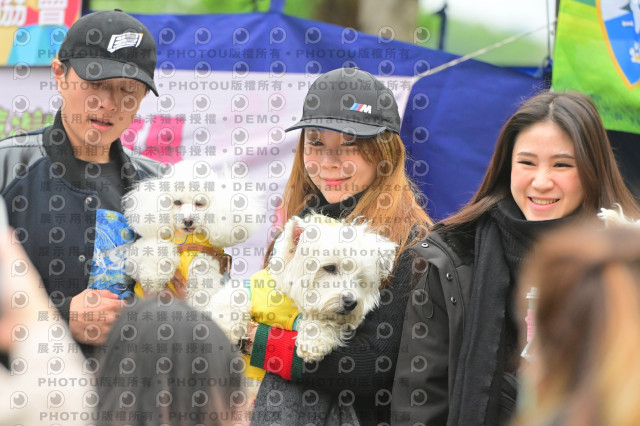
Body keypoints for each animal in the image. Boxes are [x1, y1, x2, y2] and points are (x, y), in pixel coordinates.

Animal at [122, 160, 262, 301]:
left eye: (200, 203)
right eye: (177, 202)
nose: (187, 221)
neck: (186, 238)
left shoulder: (204, 266)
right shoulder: (137, 255)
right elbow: (153, 249)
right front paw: (152, 278)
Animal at [209, 212, 397, 363]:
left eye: (361, 279)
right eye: (330, 268)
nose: (350, 303)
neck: (290, 301)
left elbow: (323, 320)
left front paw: (314, 342)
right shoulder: (250, 289)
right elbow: (233, 298)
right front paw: (227, 329)